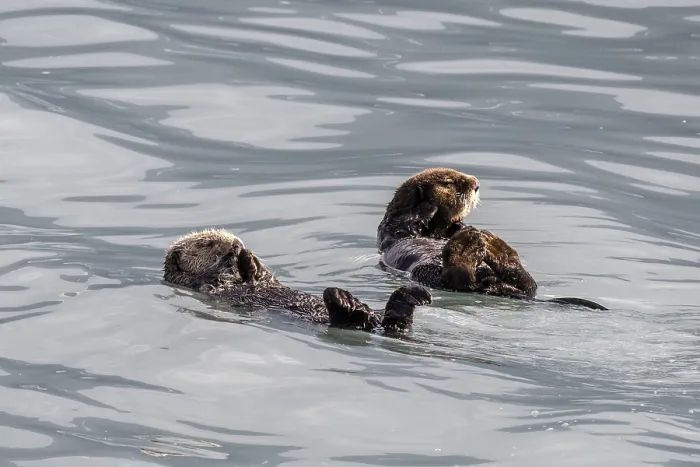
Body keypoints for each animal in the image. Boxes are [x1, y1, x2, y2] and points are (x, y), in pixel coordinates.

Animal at [163, 229, 433, 334]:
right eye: (207, 243)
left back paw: (414, 295)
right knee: (354, 319)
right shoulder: (210, 284)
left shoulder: (264, 279)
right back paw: (343, 299)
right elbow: (220, 279)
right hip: (346, 319)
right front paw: (240, 259)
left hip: (381, 316)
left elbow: (263, 275)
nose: (237, 245)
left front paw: (248, 257)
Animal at [377, 168, 607, 311]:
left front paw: (461, 225)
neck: (435, 231)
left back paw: (494, 247)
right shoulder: (395, 229)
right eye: (448, 182)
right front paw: (428, 205)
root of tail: (491, 287)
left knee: (529, 286)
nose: (476, 183)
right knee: (457, 280)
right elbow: (408, 220)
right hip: (424, 272)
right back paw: (469, 248)